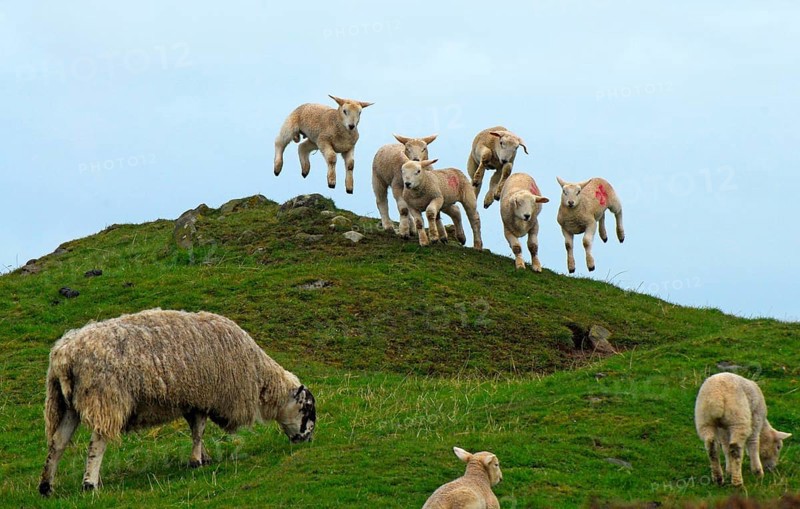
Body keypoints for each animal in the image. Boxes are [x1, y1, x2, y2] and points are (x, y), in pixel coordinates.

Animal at [38, 309, 316, 496]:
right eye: (306, 408)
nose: (307, 439)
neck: (260, 378)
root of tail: (64, 355)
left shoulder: (194, 399)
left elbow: (196, 430)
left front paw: (204, 457)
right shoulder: (206, 397)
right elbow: (199, 431)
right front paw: (196, 461)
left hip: (67, 404)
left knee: (57, 443)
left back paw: (46, 486)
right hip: (105, 398)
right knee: (97, 443)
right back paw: (90, 483)